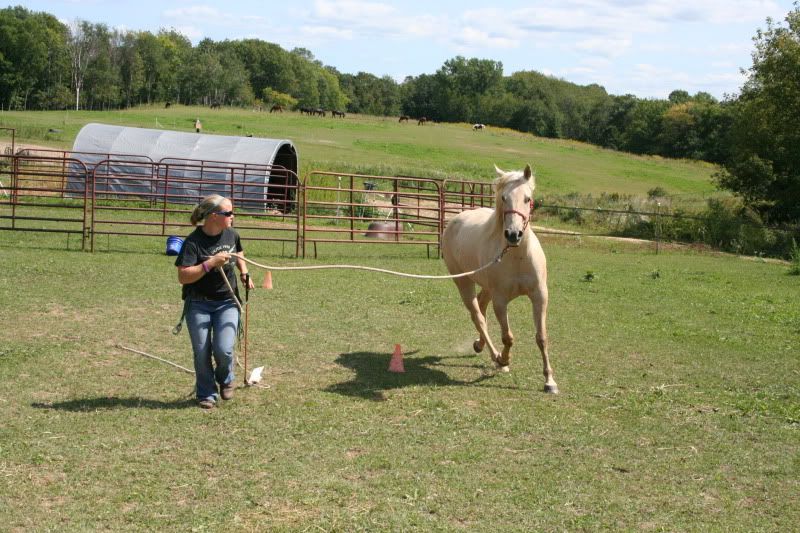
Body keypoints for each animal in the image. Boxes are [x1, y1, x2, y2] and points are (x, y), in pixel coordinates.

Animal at [440, 164, 560, 392]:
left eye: (528, 199)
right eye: (503, 197)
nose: (513, 234)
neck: (517, 256)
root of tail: (455, 221)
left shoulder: (540, 296)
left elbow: (542, 337)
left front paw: (549, 381)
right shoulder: (501, 301)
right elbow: (508, 337)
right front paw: (504, 360)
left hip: (486, 287)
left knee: (481, 307)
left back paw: (480, 345)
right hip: (463, 282)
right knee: (478, 317)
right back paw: (495, 356)